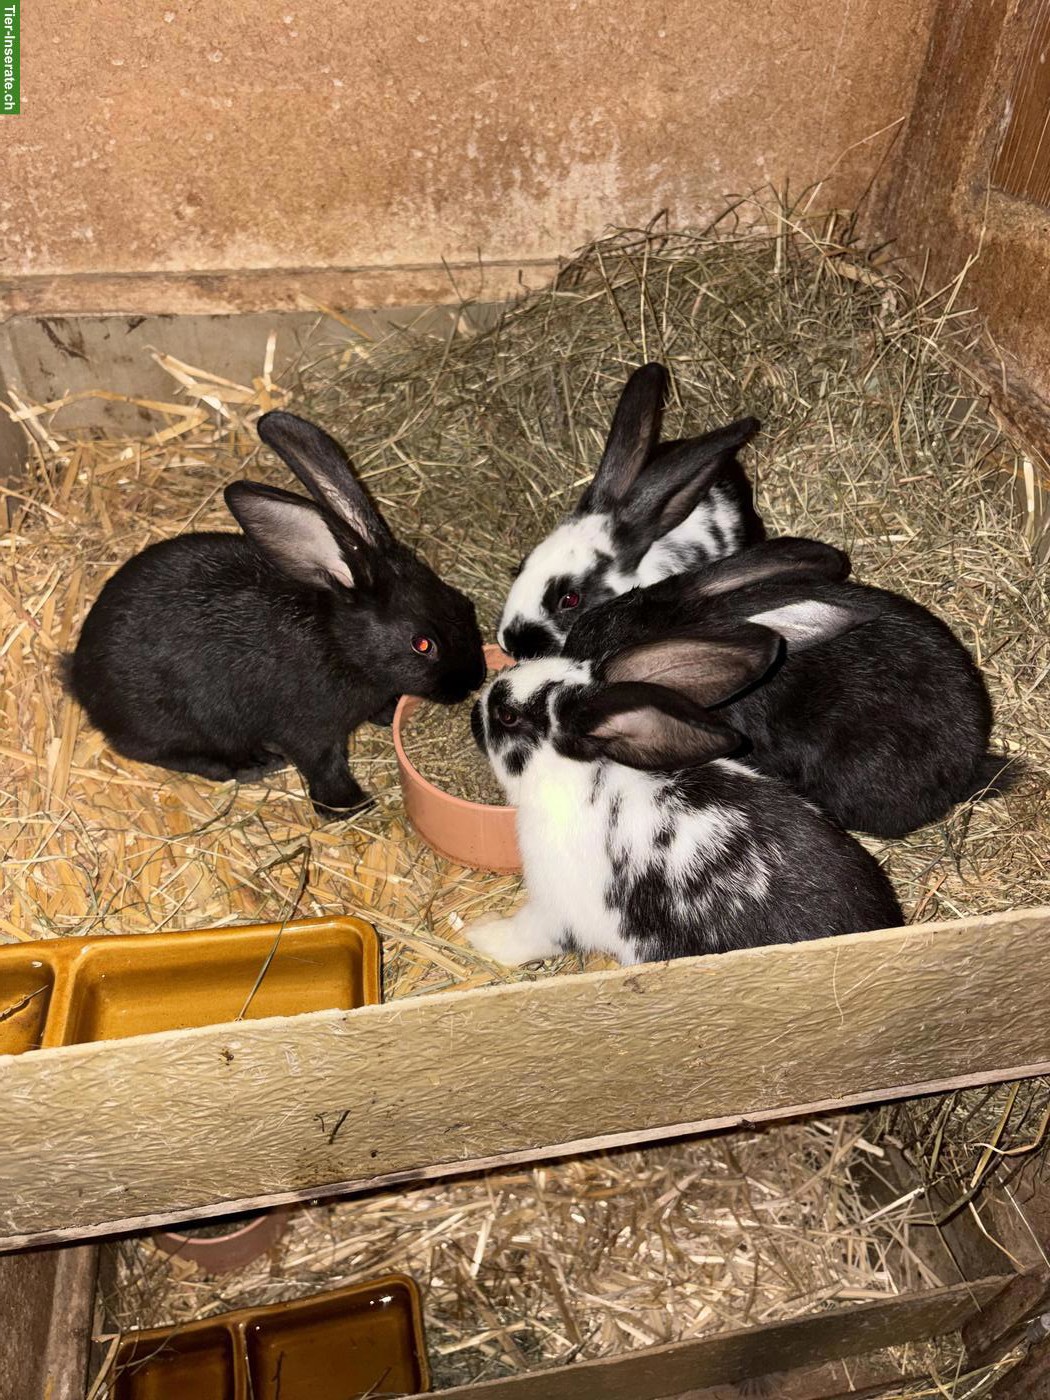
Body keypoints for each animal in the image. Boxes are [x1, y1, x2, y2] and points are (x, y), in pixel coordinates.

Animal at [65, 411, 486, 817]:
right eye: (422, 644)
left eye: (464, 603)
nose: (473, 681)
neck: (342, 646)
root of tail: (78, 676)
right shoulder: (309, 731)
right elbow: (324, 766)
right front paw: (350, 806)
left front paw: (385, 716)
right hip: (175, 725)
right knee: (159, 752)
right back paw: (253, 764)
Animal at [466, 633, 902, 968]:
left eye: (507, 715)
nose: (474, 711)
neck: (582, 776)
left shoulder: (555, 908)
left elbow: (524, 935)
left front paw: (480, 934)